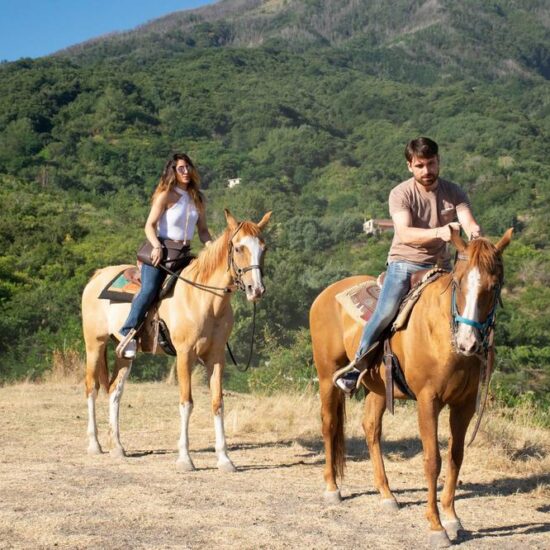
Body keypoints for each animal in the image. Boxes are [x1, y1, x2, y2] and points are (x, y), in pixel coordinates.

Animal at [82, 209, 272, 472]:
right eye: (238, 248)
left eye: (263, 247)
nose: (257, 290)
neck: (203, 298)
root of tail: (98, 276)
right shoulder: (185, 355)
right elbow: (186, 402)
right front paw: (185, 459)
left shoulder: (216, 357)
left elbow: (217, 403)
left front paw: (225, 459)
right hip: (94, 344)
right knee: (92, 388)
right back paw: (94, 444)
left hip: (125, 354)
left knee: (114, 391)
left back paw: (118, 447)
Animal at [310, 229, 512, 548]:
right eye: (458, 282)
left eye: (493, 287)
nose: (468, 342)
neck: (442, 332)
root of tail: (325, 294)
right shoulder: (428, 401)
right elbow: (433, 461)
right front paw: (436, 526)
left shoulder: (465, 404)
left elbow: (455, 457)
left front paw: (452, 518)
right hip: (328, 375)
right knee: (329, 425)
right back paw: (332, 489)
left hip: (378, 388)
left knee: (371, 428)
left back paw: (386, 494)